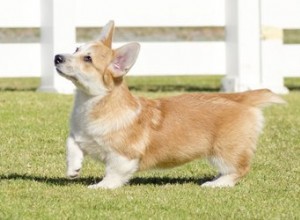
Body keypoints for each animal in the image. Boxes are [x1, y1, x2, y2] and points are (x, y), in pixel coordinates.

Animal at [54, 21, 286, 189]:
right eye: (76, 49)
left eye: (87, 59)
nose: (57, 57)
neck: (90, 102)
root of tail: (241, 98)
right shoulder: (78, 135)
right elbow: (71, 144)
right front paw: (73, 169)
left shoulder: (123, 156)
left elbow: (114, 173)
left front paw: (101, 186)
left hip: (224, 150)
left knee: (239, 169)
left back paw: (216, 184)